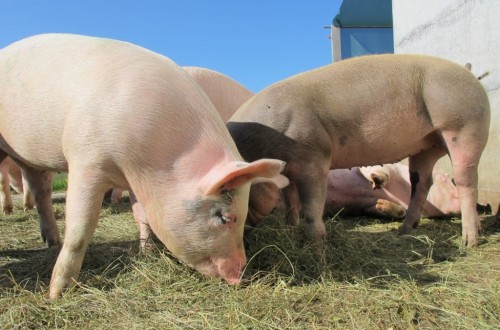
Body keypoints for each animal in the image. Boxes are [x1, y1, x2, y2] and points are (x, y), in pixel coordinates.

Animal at [0, 34, 288, 300]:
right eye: (224, 217)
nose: (241, 276)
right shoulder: (87, 159)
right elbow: (81, 227)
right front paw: (56, 294)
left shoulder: (136, 179)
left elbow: (142, 215)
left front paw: (147, 252)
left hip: (30, 161)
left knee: (41, 190)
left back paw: (51, 242)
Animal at [229, 53, 490, 248]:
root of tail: (470, 74)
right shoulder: (290, 170)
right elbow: (291, 204)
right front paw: (291, 231)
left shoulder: (313, 158)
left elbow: (311, 207)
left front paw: (318, 243)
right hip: (427, 146)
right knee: (422, 183)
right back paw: (404, 231)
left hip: (464, 127)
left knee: (467, 181)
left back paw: (469, 242)